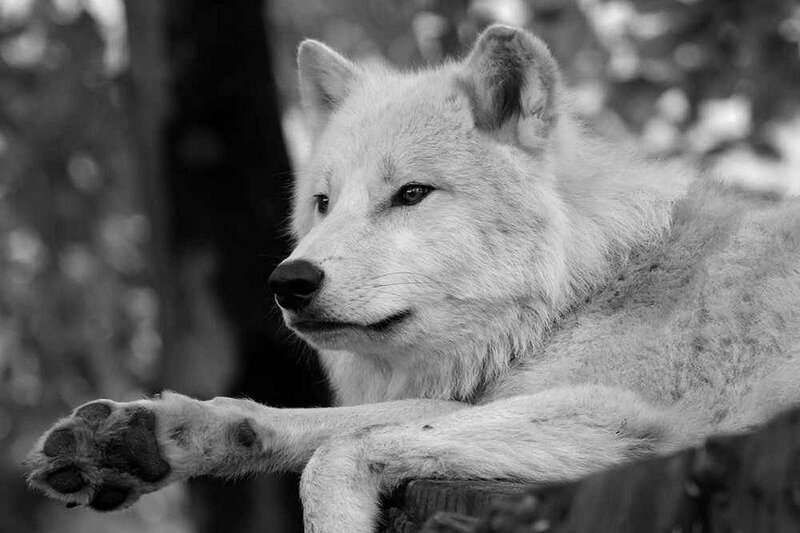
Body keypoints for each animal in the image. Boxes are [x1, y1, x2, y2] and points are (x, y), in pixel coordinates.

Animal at [26, 25, 800, 532]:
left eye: (411, 194)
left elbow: (337, 450)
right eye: (323, 202)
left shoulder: (627, 417)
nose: (289, 281)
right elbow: (328, 422)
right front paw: (148, 436)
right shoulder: (492, 395)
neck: (583, 286)